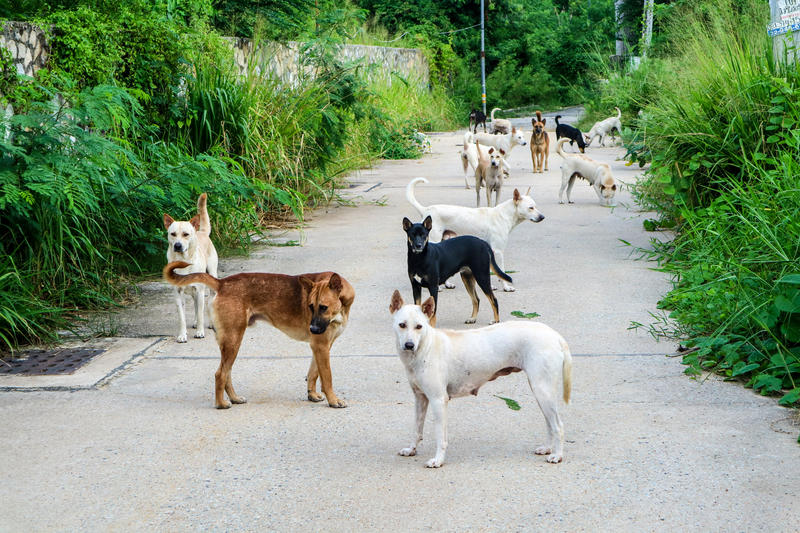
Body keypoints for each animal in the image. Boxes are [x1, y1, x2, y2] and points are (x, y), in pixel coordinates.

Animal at [162, 262, 354, 408]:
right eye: (310, 306)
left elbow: (313, 373)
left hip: (230, 342)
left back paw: (234, 398)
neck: (341, 307)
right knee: (220, 374)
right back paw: (221, 404)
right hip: (234, 340)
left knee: (226, 373)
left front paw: (312, 394)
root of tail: (221, 283)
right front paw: (333, 400)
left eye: (323, 307)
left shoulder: (321, 346)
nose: (312, 329)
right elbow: (327, 378)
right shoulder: (320, 346)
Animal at [164, 193, 219, 342]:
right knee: (195, 305)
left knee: (208, 303)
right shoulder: (178, 294)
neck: (184, 262)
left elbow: (201, 314)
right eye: (172, 234)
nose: (177, 245)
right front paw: (182, 335)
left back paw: (211, 323)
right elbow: (182, 318)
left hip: (211, 277)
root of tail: (201, 232)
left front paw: (200, 332)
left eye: (186, 234)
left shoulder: (200, 290)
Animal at [390, 288, 572, 468]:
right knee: (550, 424)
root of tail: (555, 336)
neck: (425, 346)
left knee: (558, 426)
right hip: (541, 392)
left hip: (542, 391)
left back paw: (557, 455)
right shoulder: (420, 398)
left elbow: (440, 437)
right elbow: (417, 429)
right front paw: (411, 449)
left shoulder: (438, 400)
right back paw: (548, 448)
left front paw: (438, 460)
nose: (409, 345)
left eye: (419, 326)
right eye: (402, 325)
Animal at [406, 177, 544, 290]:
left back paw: (446, 284)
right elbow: (501, 272)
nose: (542, 217)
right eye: (531, 208)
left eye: (536, 206)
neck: (504, 215)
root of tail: (426, 209)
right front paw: (506, 287)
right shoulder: (498, 251)